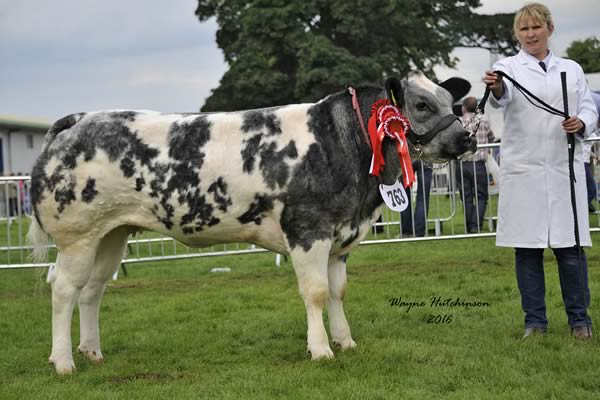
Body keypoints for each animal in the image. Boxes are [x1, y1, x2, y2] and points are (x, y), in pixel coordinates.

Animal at [28, 70, 476, 374]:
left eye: (451, 102)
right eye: (422, 105)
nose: (467, 138)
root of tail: (81, 119)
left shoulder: (339, 235)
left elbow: (338, 291)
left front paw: (345, 341)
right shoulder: (308, 229)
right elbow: (316, 292)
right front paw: (321, 350)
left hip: (111, 232)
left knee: (92, 290)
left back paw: (92, 351)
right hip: (77, 235)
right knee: (64, 289)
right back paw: (63, 361)